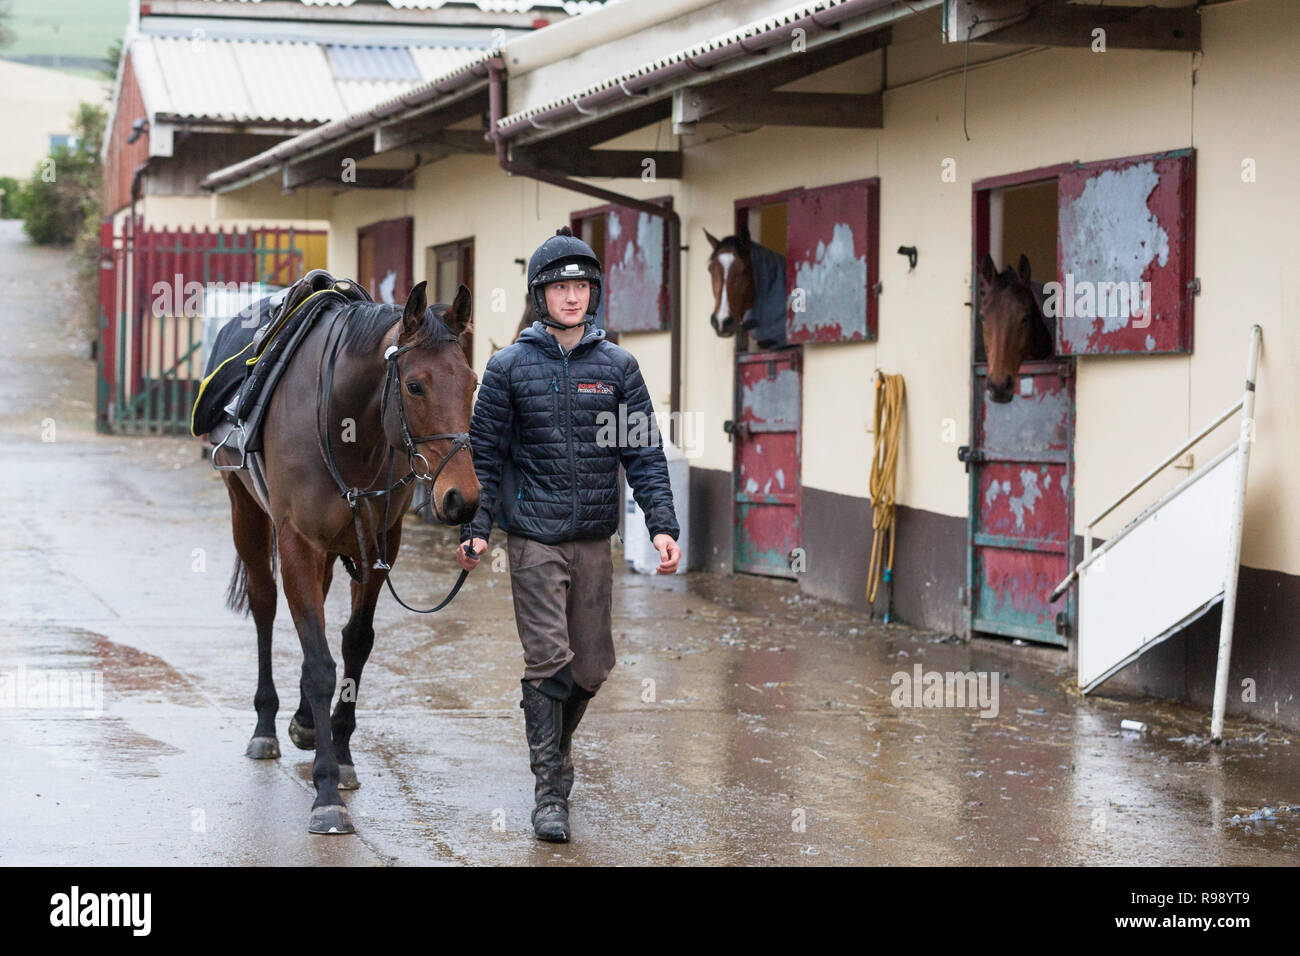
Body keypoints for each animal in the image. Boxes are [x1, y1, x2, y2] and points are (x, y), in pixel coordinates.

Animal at [215, 280, 480, 832]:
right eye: (415, 386)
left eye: (471, 383)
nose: (461, 498)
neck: (348, 424)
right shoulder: (297, 539)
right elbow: (319, 662)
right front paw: (325, 791)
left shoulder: (379, 541)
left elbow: (355, 643)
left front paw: (340, 753)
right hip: (247, 514)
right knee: (266, 606)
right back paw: (267, 724)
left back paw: (302, 722)